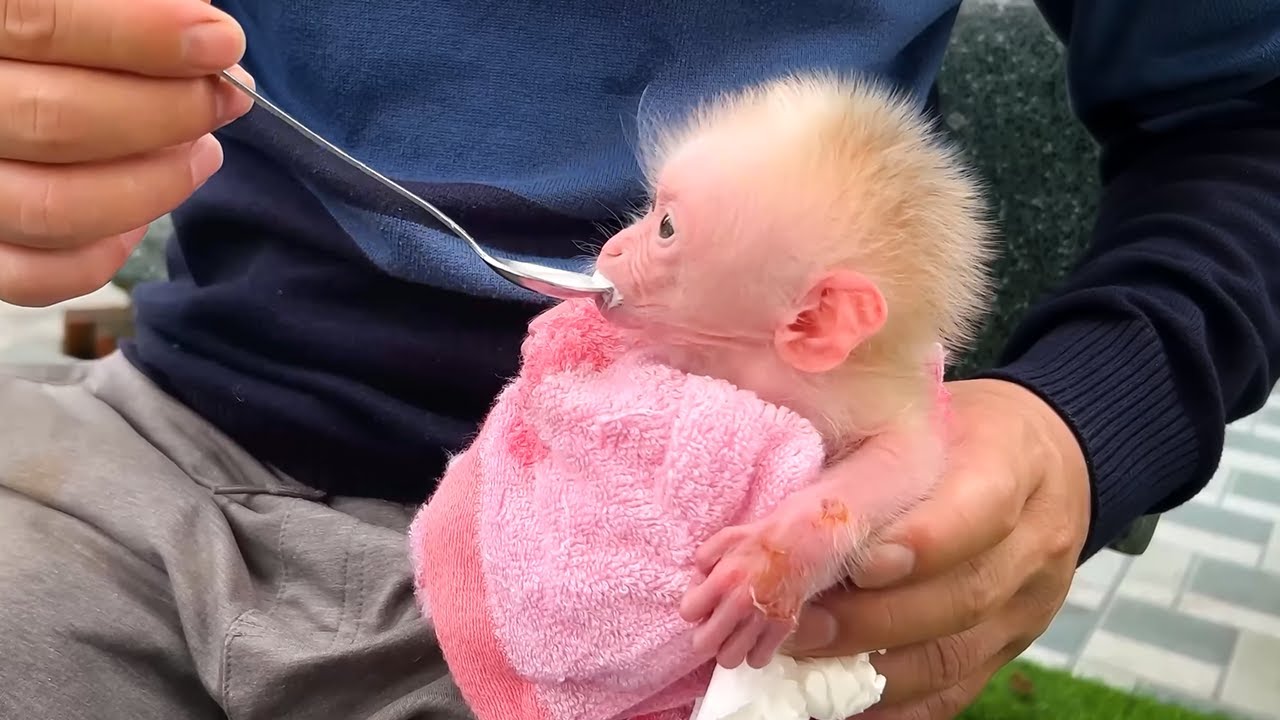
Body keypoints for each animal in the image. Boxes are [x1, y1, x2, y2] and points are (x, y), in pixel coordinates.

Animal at [590, 70, 997, 671]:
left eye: (664, 227)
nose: (613, 248)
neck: (756, 362)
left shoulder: (856, 389)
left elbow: (913, 452)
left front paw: (773, 560)